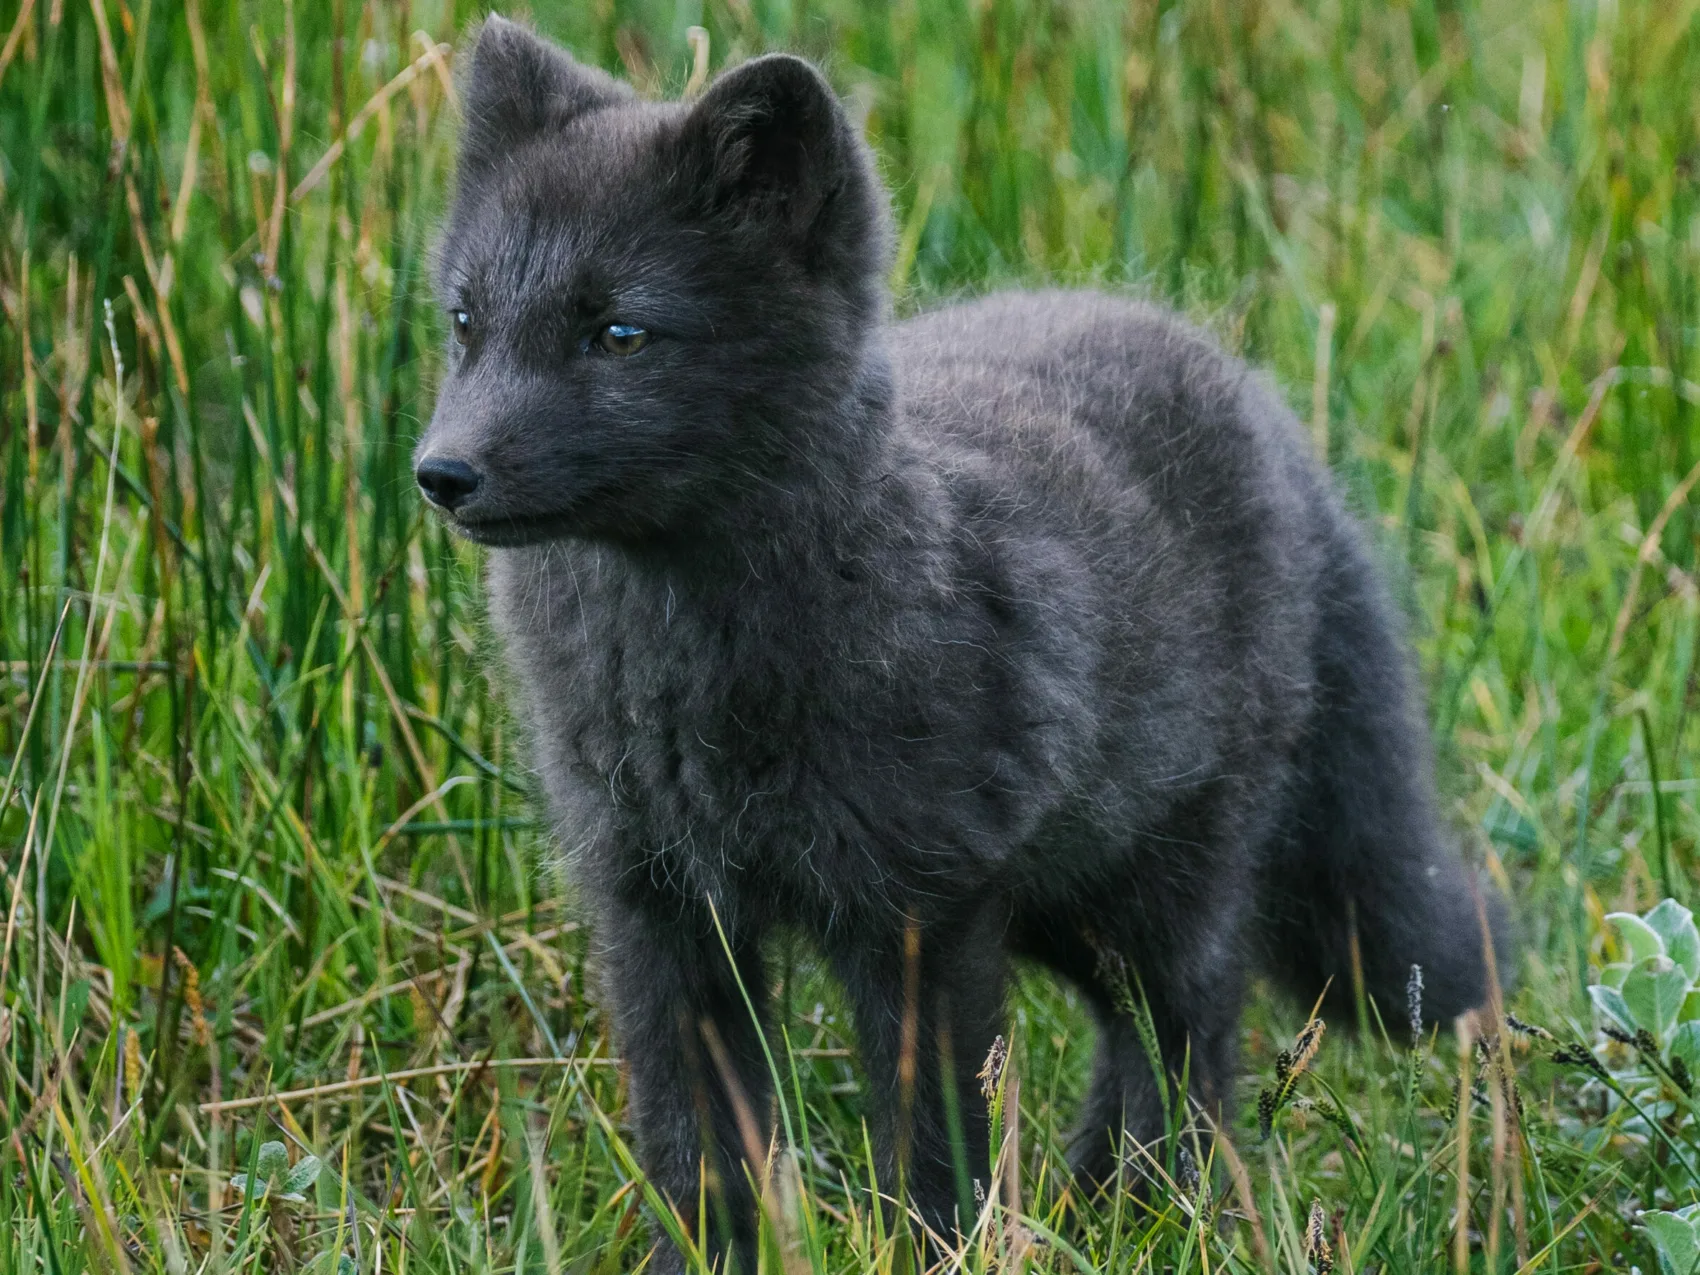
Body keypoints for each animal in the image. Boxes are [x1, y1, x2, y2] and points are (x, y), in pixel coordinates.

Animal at [418, 17, 1509, 1271]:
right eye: (465, 323)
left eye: (618, 334)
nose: (440, 474)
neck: (684, 692)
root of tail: (1263, 406)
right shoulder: (658, 904)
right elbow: (692, 1135)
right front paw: (706, 1256)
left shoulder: (916, 911)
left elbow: (930, 1133)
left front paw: (930, 1249)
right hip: (1060, 902)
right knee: (1148, 1038)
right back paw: (1100, 1209)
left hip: (1156, 877)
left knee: (1187, 1032)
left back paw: (1143, 1212)